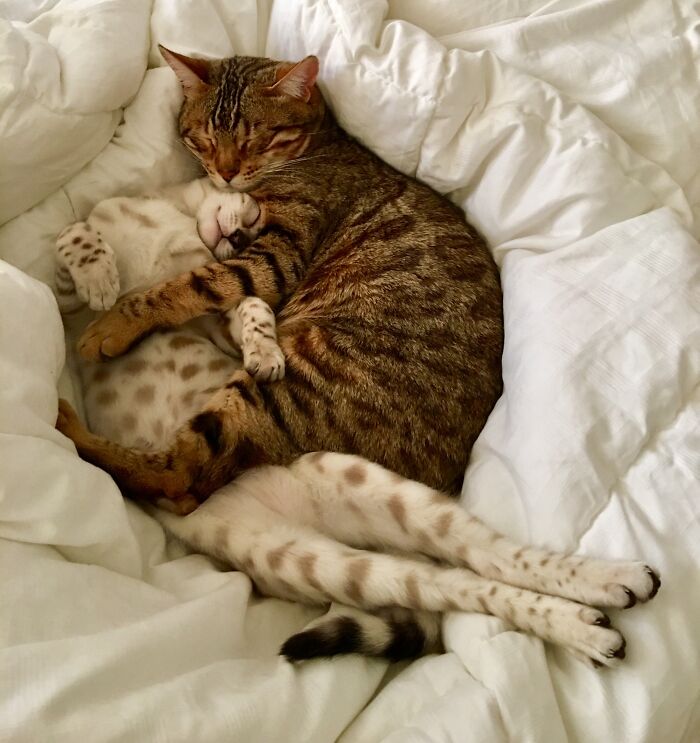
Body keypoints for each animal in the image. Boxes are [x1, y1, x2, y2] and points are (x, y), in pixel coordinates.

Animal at [56, 45, 504, 512]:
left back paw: (70, 431)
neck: (319, 144)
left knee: (179, 477)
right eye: (205, 139)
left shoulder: (279, 253)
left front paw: (116, 323)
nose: (226, 172)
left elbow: (194, 283)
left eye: (255, 139)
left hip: (295, 382)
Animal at [56, 182, 660, 668]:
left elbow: (245, 307)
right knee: (464, 583)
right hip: (324, 562)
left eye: (259, 223)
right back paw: (591, 620)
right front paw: (101, 278)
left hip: (370, 501)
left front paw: (260, 349)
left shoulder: (223, 314)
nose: (241, 230)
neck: (174, 212)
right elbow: (75, 234)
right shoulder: (70, 295)